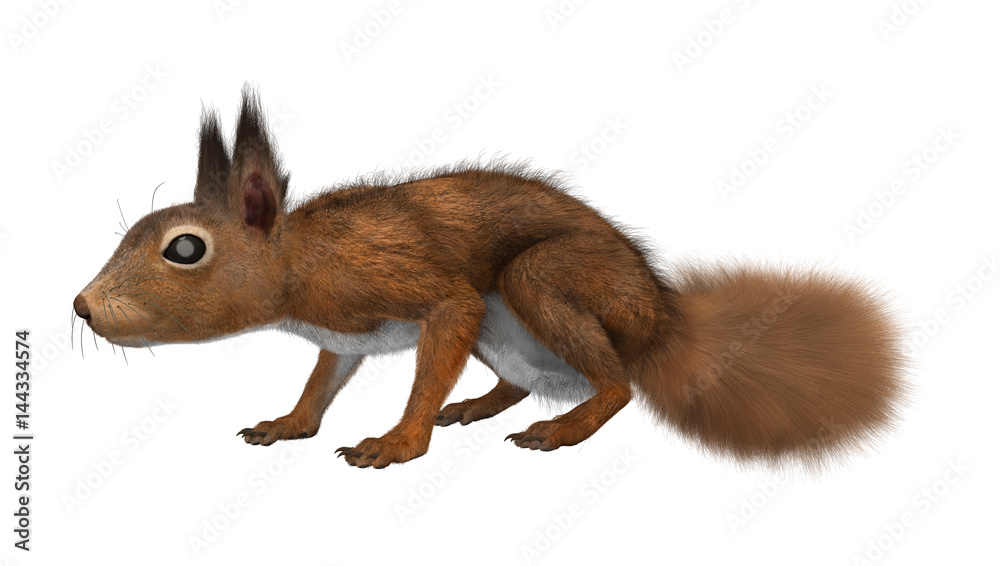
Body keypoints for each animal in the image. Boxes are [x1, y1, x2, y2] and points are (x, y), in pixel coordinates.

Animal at [73, 89, 908, 470]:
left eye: (185, 249)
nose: (81, 308)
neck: (297, 260)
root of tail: (663, 324)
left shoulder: (416, 289)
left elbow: (433, 341)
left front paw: (396, 443)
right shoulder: (342, 333)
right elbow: (322, 379)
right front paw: (289, 423)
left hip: (544, 282)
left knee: (617, 387)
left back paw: (560, 427)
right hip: (507, 339)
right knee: (518, 381)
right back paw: (477, 405)